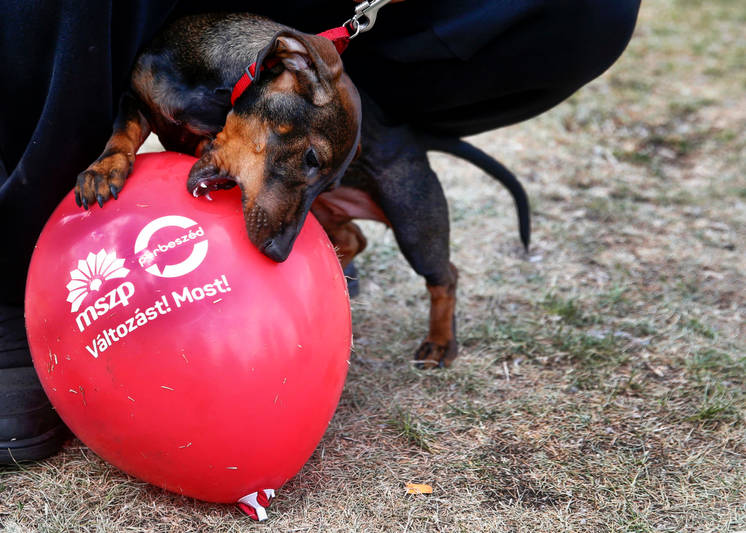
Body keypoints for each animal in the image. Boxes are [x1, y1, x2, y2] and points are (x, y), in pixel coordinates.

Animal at [77, 13, 528, 370]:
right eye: (311, 158)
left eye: (329, 176)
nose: (279, 253)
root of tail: (412, 135)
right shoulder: (134, 97)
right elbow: (122, 133)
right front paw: (103, 170)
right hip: (331, 213)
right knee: (355, 237)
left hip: (415, 223)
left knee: (444, 276)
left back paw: (439, 342)